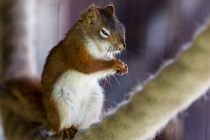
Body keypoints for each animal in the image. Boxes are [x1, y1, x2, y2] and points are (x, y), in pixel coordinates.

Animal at [40, 4, 127, 139]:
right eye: (104, 32)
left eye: (122, 27)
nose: (122, 47)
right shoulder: (75, 51)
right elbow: (88, 66)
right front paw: (114, 64)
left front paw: (123, 67)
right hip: (59, 104)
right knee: (59, 127)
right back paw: (65, 130)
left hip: (95, 102)